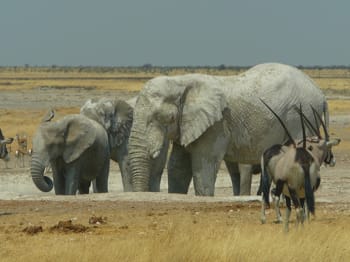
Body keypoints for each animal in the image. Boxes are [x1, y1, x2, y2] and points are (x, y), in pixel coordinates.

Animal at [129, 62, 328, 195]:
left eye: (166, 118)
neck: (181, 81)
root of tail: (321, 93)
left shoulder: (216, 125)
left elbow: (204, 164)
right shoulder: (187, 125)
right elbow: (177, 167)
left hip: (303, 115)